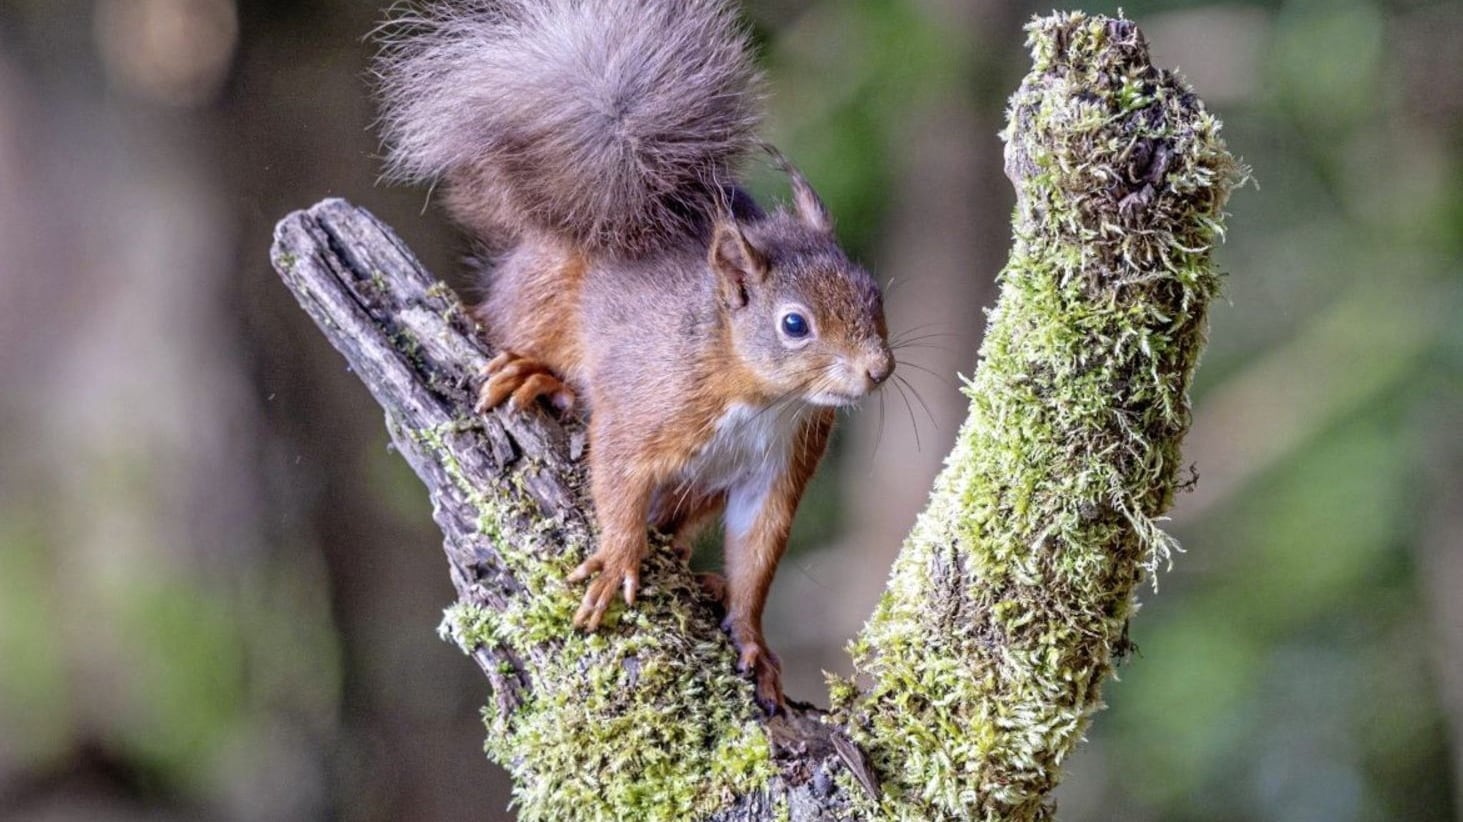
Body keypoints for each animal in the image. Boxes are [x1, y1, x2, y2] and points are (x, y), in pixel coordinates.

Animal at [375, 0, 892, 713]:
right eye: (795, 324)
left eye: (874, 294)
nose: (878, 369)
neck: (761, 399)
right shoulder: (644, 409)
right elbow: (617, 481)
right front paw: (619, 561)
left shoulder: (780, 466)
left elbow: (757, 552)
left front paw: (752, 640)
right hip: (540, 303)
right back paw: (535, 374)